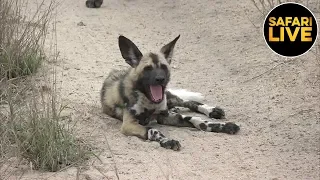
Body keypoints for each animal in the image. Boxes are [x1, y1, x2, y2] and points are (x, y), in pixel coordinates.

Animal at [100, 34, 240, 150]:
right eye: (148, 69)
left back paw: (212, 112)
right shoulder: (129, 125)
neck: (150, 103)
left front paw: (222, 126)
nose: (160, 79)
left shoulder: (164, 116)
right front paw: (167, 141)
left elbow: (198, 121)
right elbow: (153, 130)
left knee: (189, 103)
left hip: (169, 98)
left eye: (164, 67)